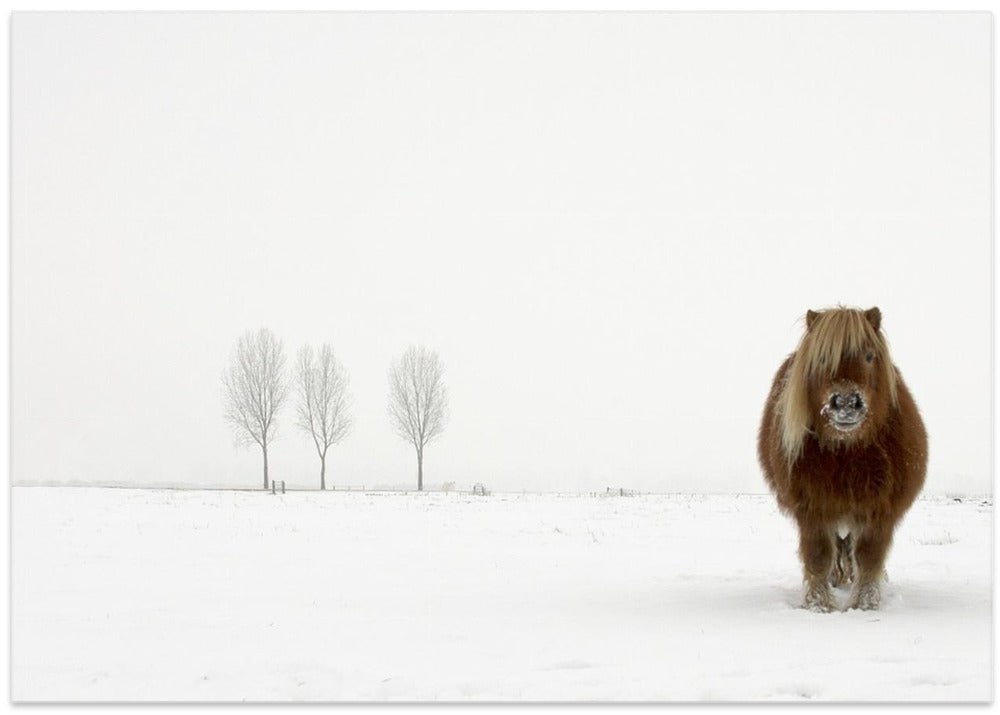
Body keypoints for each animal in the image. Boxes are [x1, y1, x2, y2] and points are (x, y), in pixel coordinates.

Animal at [757, 306, 927, 611]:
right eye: (823, 357)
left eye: (869, 355)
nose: (846, 403)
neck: (847, 452)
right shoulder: (812, 509)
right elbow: (818, 556)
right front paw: (818, 604)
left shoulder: (879, 511)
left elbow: (869, 557)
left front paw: (865, 604)